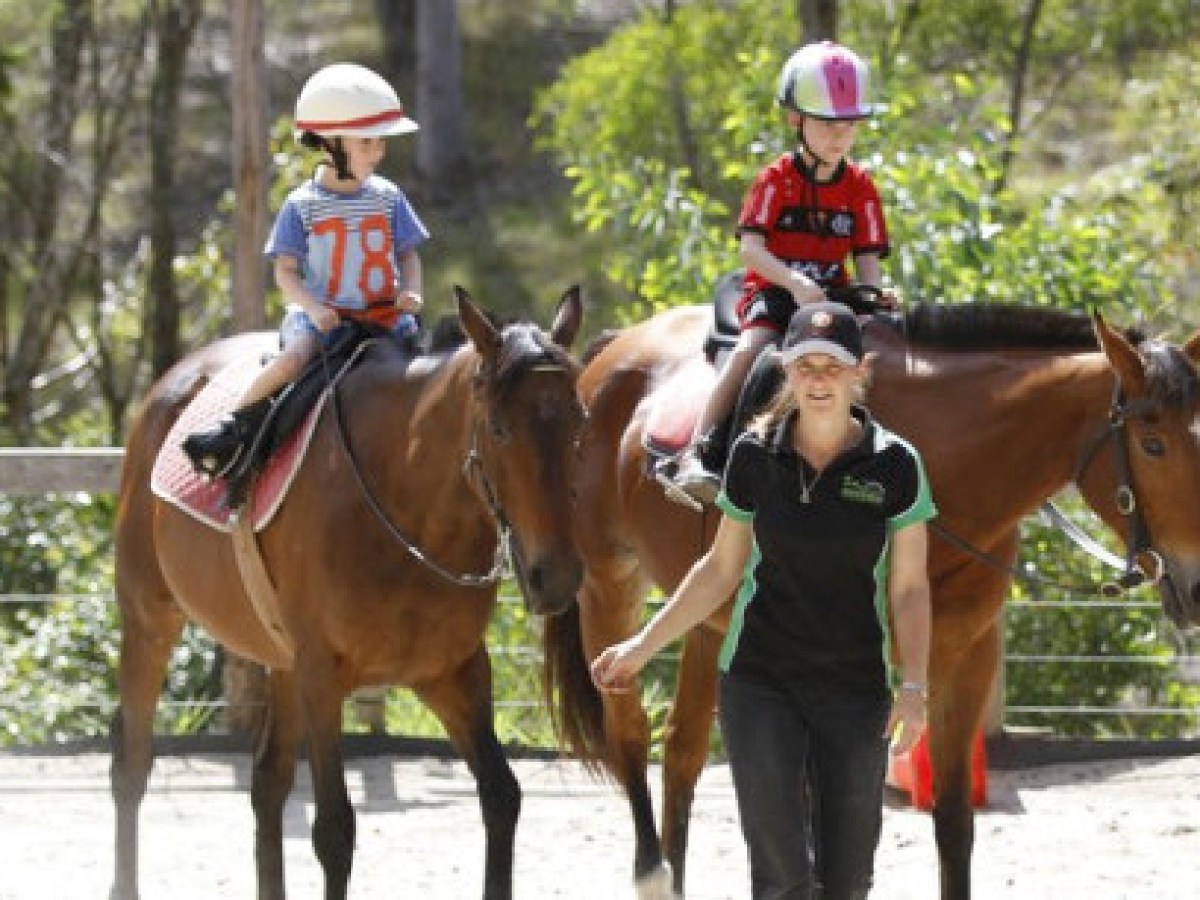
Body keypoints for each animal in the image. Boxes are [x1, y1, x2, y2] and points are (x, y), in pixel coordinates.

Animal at [110, 287, 586, 900]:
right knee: (132, 765)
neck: (403, 505)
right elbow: (334, 831)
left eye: (578, 421)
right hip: (149, 618)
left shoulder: (453, 673)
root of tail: (170, 383)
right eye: (500, 429)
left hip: (280, 660)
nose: (558, 575)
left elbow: (502, 797)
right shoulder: (322, 676)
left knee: (267, 784)